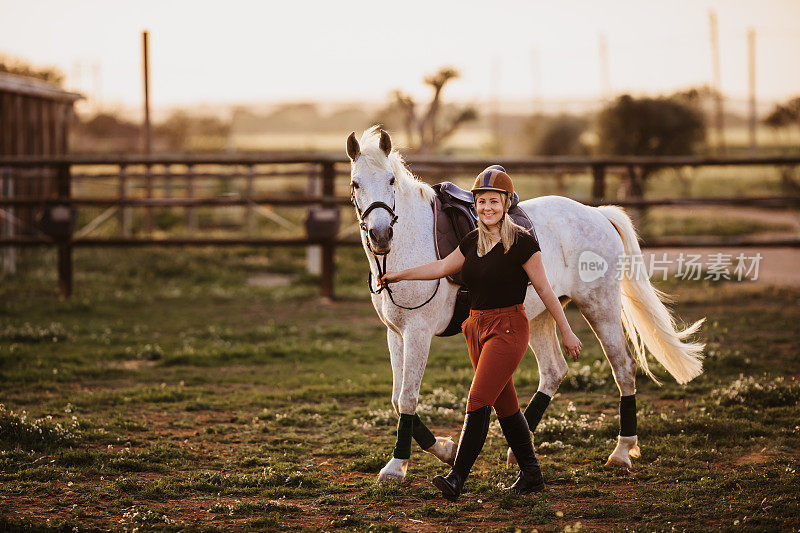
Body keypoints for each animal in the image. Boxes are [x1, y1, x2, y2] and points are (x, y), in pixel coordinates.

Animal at [346, 127, 708, 480]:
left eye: (391, 181)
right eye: (355, 183)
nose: (380, 235)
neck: (410, 243)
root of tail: (598, 214)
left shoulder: (418, 333)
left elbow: (407, 398)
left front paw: (397, 466)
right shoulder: (397, 334)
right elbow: (397, 400)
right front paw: (446, 450)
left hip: (600, 308)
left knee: (623, 368)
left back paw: (621, 452)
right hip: (542, 315)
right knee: (554, 371)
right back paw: (519, 446)